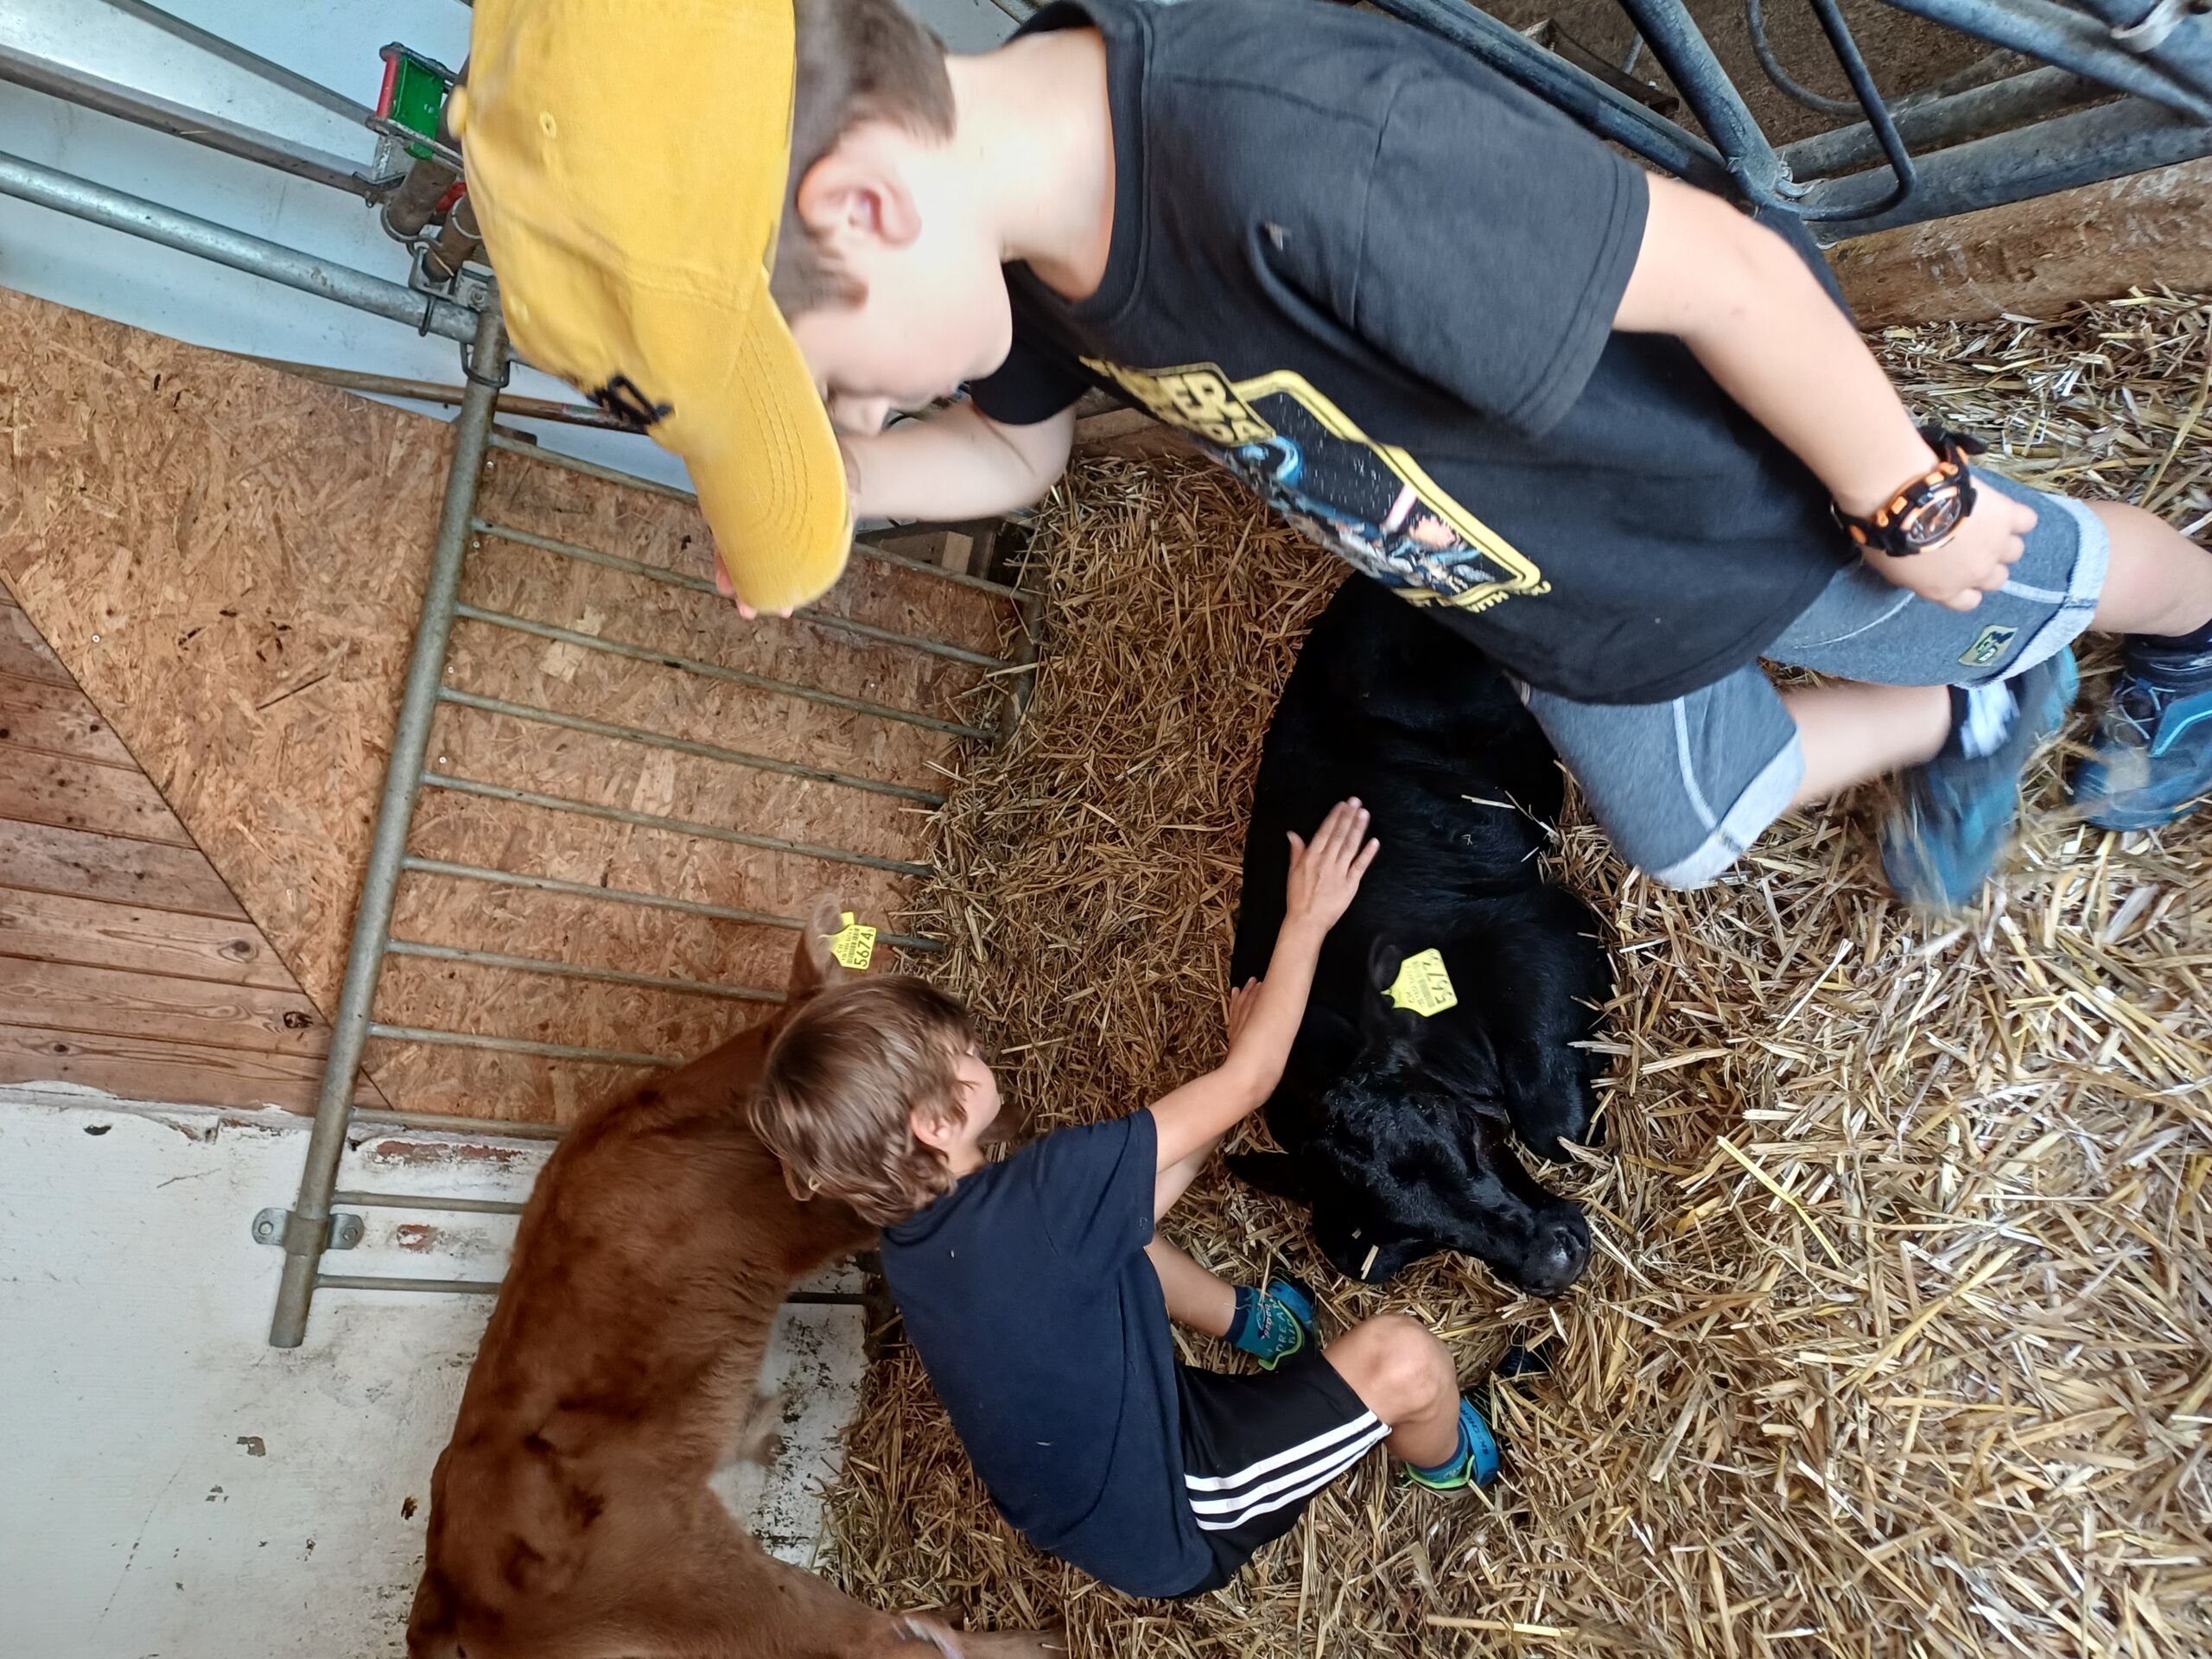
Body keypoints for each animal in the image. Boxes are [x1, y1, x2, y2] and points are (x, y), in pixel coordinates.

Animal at [407, 896, 1057, 1659]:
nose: (1005, 1095)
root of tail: (446, 1590)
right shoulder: (836, 1213)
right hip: (713, 1585)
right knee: (879, 1639)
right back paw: (1038, 1639)